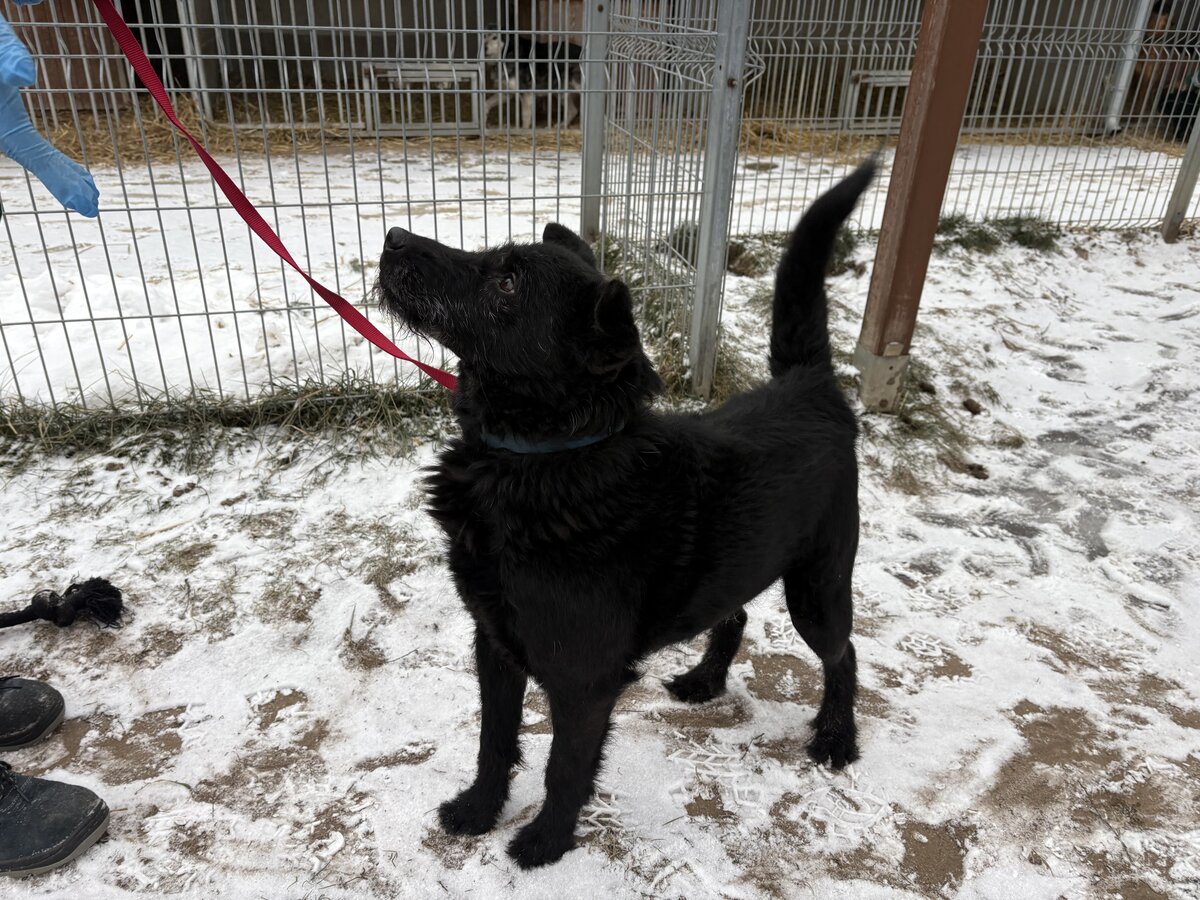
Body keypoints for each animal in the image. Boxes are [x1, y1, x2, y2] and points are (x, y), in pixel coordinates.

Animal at [374, 161, 875, 868]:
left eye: (508, 282)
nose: (392, 237)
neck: (543, 461)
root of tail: (807, 383)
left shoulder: (583, 681)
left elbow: (565, 767)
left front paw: (546, 842)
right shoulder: (493, 645)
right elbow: (494, 741)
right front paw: (478, 810)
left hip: (818, 589)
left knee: (843, 655)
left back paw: (836, 738)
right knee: (736, 613)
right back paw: (705, 681)